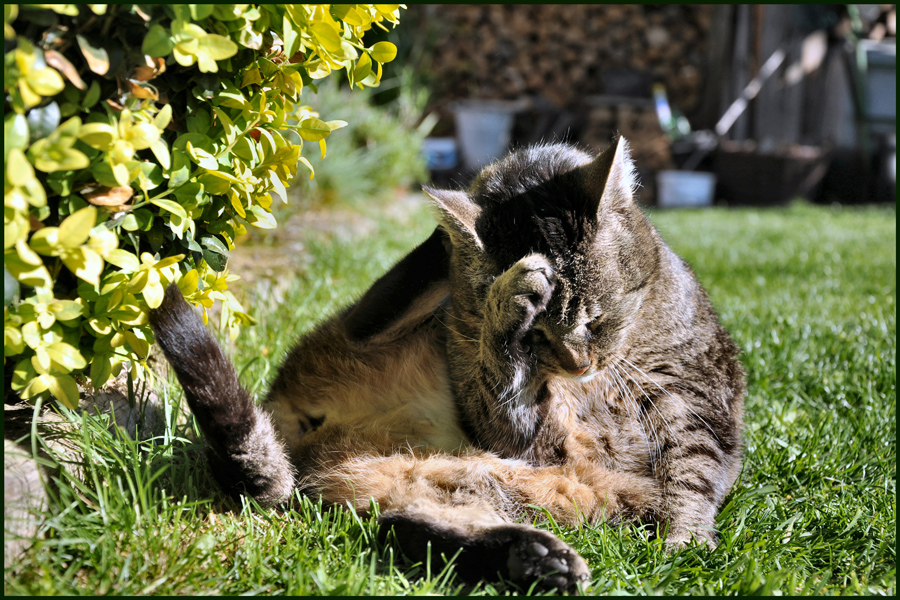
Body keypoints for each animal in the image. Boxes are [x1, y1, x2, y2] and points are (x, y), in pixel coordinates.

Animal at [149, 138, 744, 592]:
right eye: (539, 338)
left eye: (595, 319)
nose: (576, 365)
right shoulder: (513, 427)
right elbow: (503, 382)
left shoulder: (698, 399)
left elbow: (692, 473)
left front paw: (685, 541)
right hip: (384, 367)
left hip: (464, 484)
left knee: (410, 528)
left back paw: (534, 560)